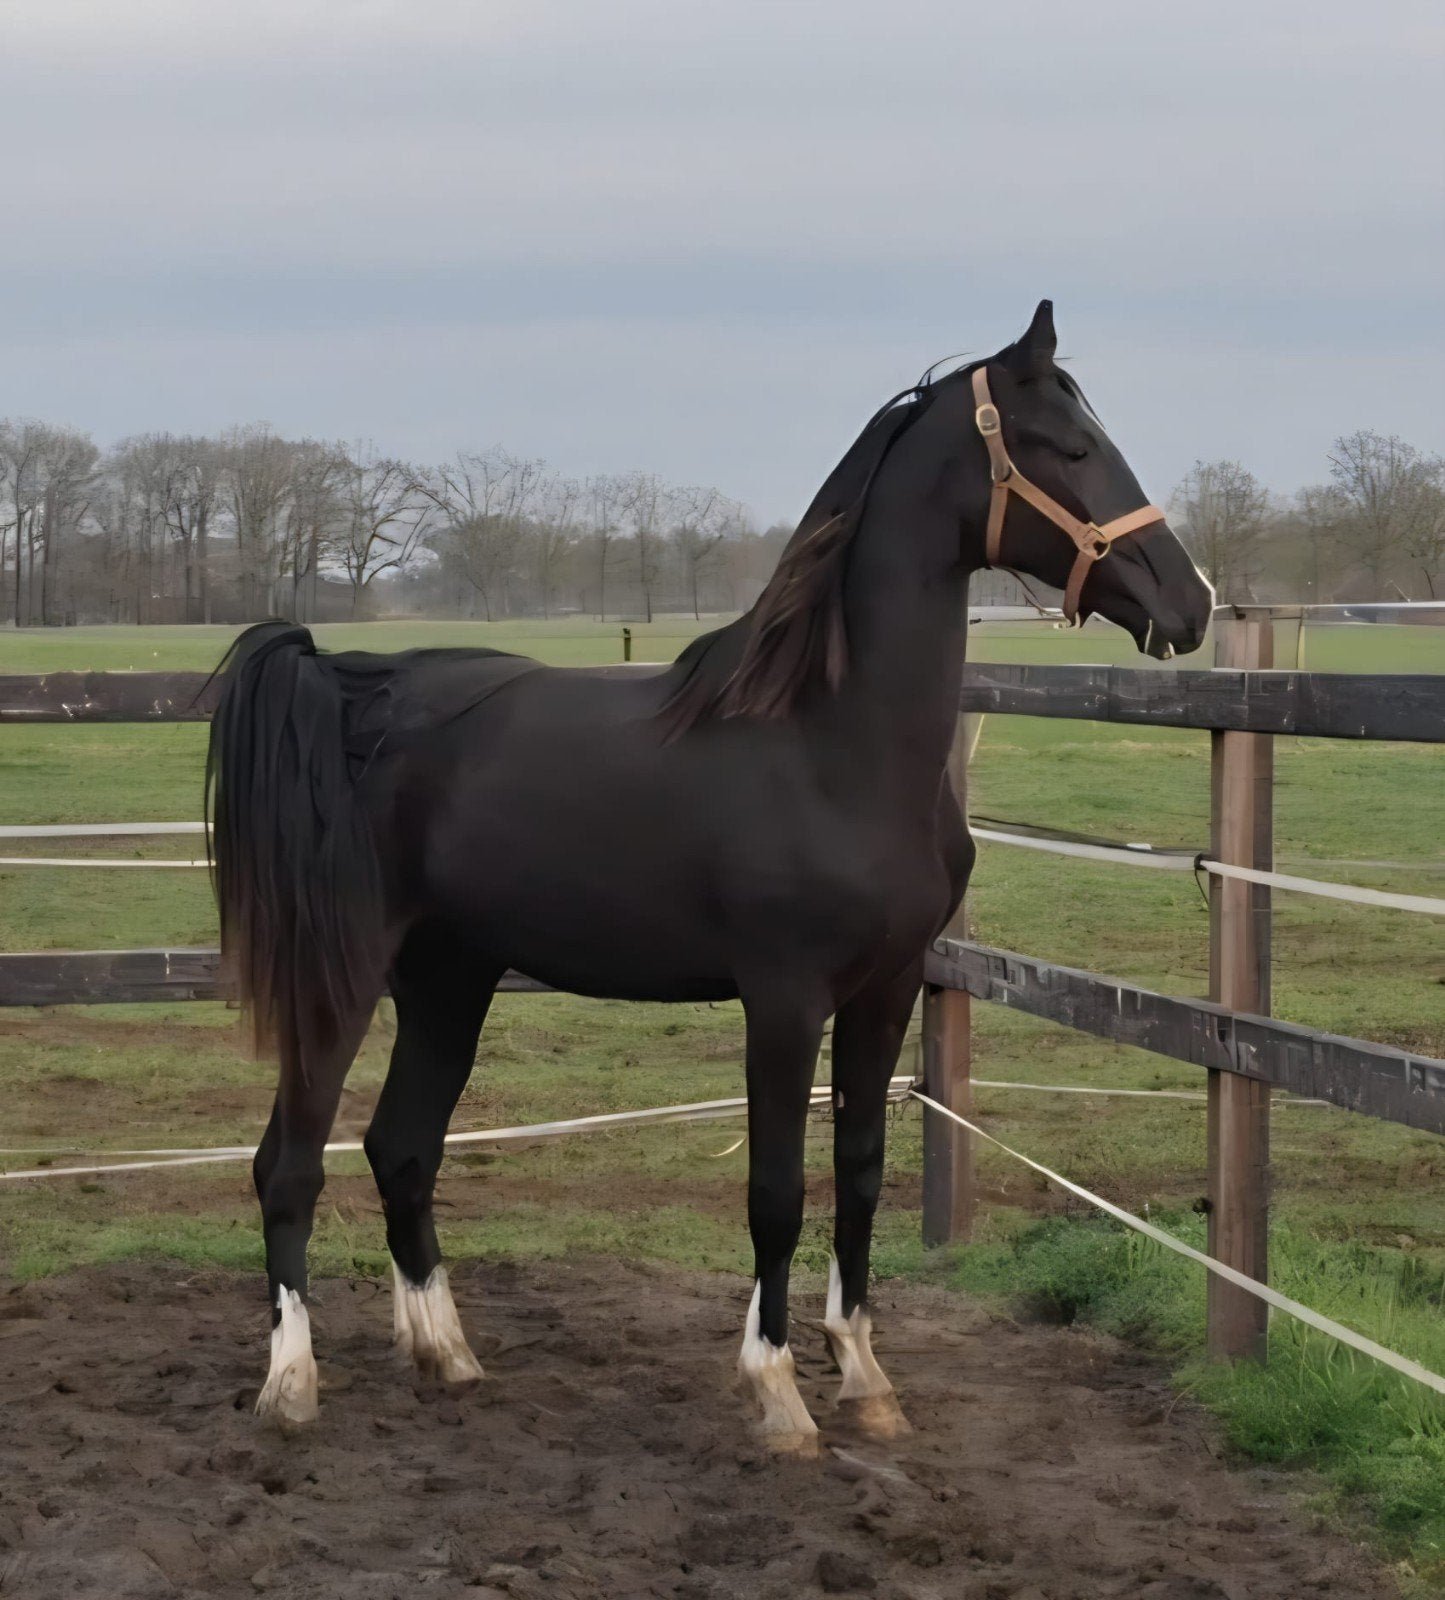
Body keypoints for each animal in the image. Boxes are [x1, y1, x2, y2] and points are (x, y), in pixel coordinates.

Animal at [206, 300, 1213, 1453]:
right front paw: (776, 1392)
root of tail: (355, 694)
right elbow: (775, 1191)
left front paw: (865, 1377)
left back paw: (446, 1353)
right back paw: (291, 1382)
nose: (1191, 604)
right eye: (1068, 447)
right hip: (343, 978)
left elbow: (860, 1172)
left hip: (448, 980)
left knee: (400, 1148)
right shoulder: (781, 1000)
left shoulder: (886, 989)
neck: (832, 745)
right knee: (288, 1162)